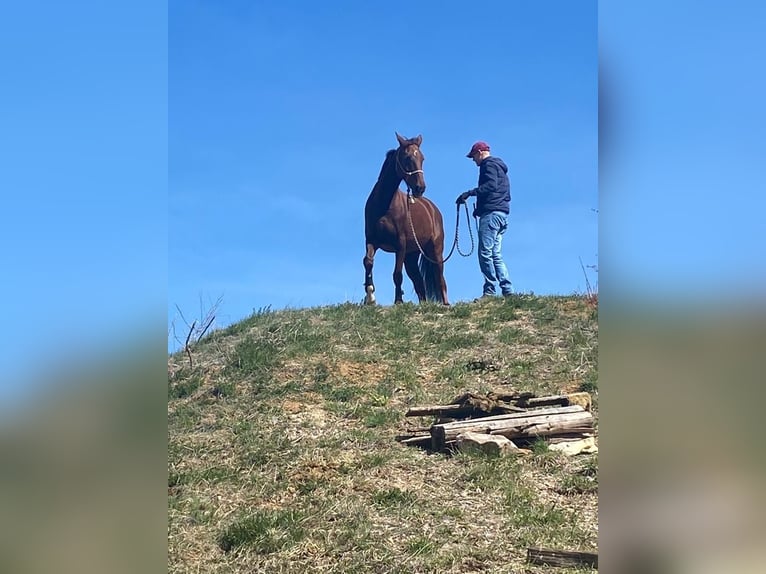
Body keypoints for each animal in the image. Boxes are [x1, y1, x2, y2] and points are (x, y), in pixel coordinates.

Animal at [364, 134, 450, 306]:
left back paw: (446, 304)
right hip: (411, 256)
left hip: (435, 251)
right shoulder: (371, 240)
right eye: (407, 157)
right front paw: (370, 297)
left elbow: (397, 274)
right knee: (419, 282)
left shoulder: (400, 245)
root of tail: (433, 209)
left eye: (422, 158)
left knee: (440, 278)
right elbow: (368, 262)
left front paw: (398, 301)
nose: (420, 188)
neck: (383, 204)